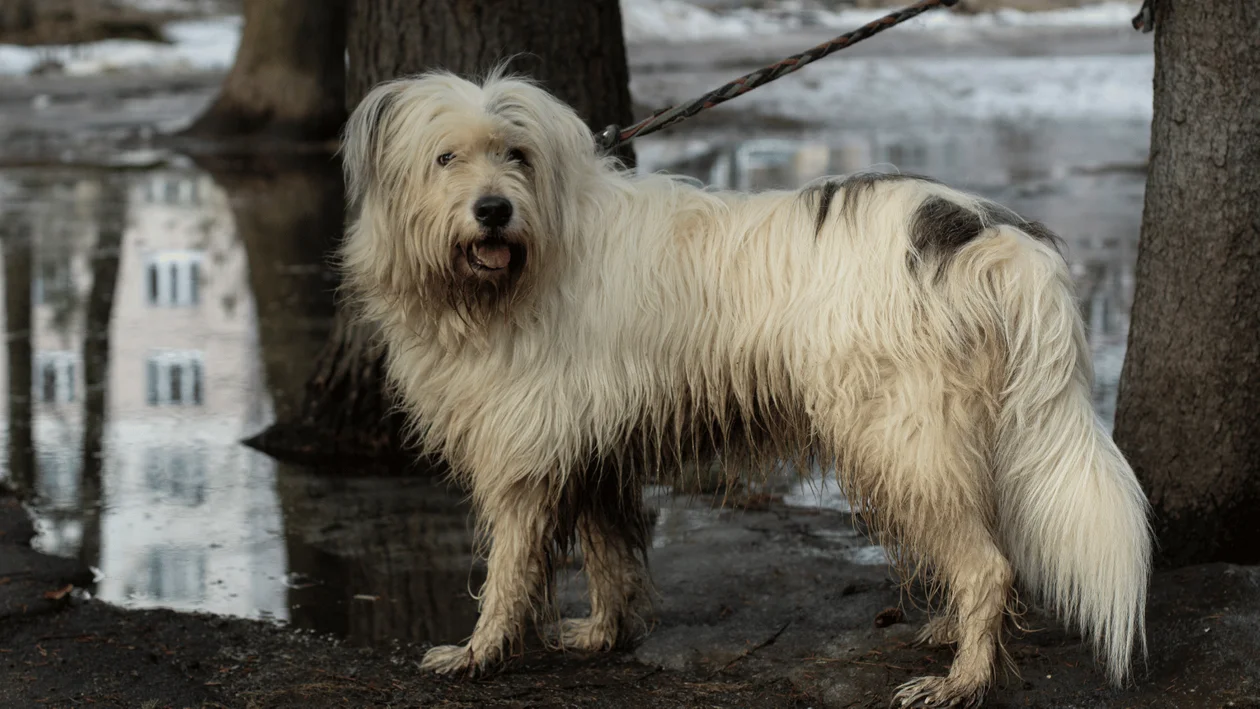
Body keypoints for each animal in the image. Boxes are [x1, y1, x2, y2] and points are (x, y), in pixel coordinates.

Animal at [335, 69, 1154, 705]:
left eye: (515, 154)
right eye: (445, 157)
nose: (493, 210)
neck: (530, 260)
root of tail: (987, 230)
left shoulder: (528, 441)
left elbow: (510, 565)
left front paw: (478, 652)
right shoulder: (588, 438)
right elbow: (608, 551)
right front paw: (604, 632)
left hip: (899, 432)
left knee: (986, 562)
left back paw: (966, 679)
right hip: (953, 431)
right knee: (989, 540)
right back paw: (957, 630)